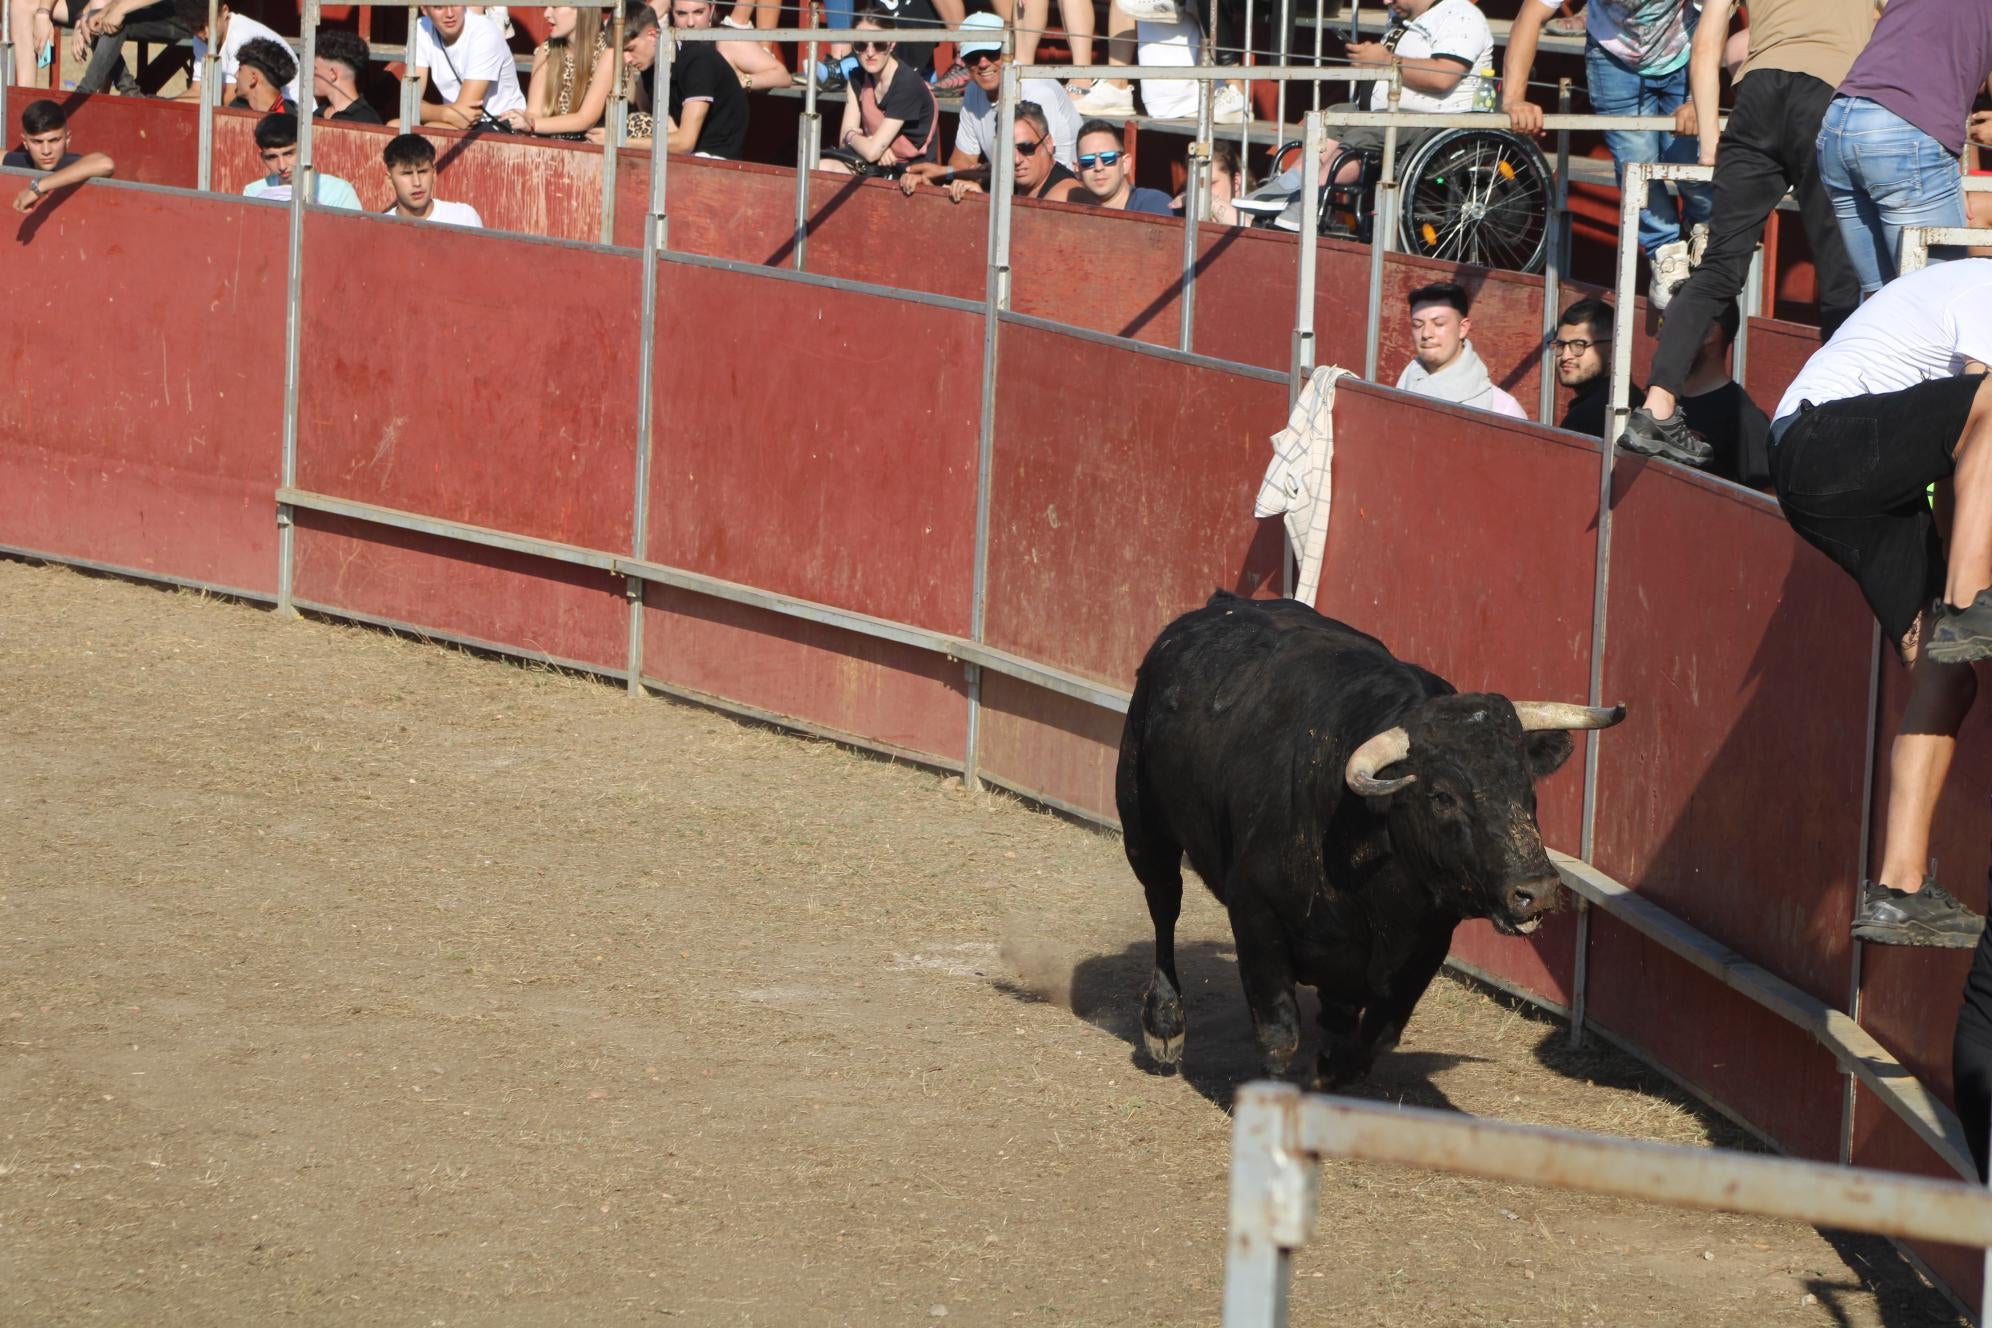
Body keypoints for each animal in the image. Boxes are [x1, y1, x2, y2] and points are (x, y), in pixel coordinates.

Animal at [1115, 593, 1625, 1091]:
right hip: (1144, 825)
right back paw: (1164, 1028)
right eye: (1442, 796)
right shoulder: (1255, 914)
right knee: (1164, 905)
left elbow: (1375, 1035)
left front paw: (1330, 1074)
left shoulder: (1425, 944)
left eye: (1528, 787)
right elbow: (1278, 1032)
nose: (1536, 890)